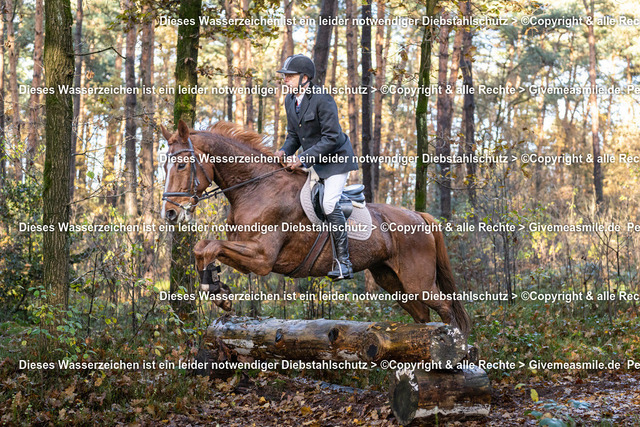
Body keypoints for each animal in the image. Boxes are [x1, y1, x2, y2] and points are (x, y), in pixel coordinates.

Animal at [160, 119, 471, 336]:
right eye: (165, 166)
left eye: (182, 165)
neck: (255, 188)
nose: (170, 213)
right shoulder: (246, 254)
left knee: (446, 309)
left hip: (418, 282)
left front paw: (218, 293)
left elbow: (210, 246)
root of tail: (419, 216)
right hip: (392, 280)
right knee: (422, 315)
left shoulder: (261, 258)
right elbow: (204, 248)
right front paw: (217, 289)